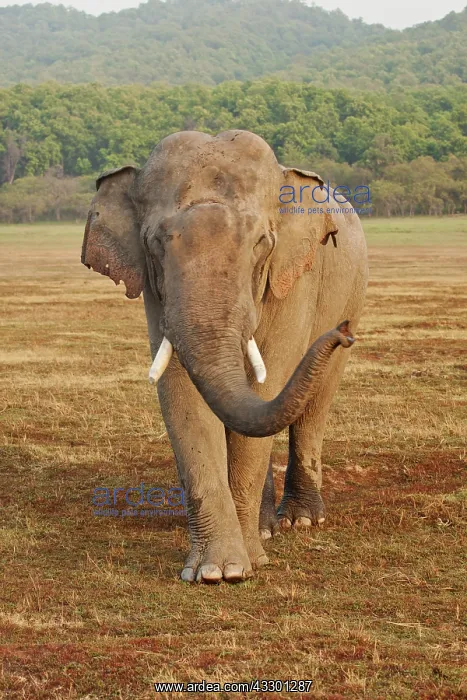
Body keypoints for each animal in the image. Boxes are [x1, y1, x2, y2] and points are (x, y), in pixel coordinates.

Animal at [81, 129, 368, 583]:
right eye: (156, 243)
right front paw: (218, 571)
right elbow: (181, 394)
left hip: (352, 291)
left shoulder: (294, 276)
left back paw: (300, 521)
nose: (341, 333)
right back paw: (267, 529)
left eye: (262, 243)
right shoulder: (156, 290)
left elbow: (270, 378)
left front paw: (247, 565)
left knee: (315, 404)